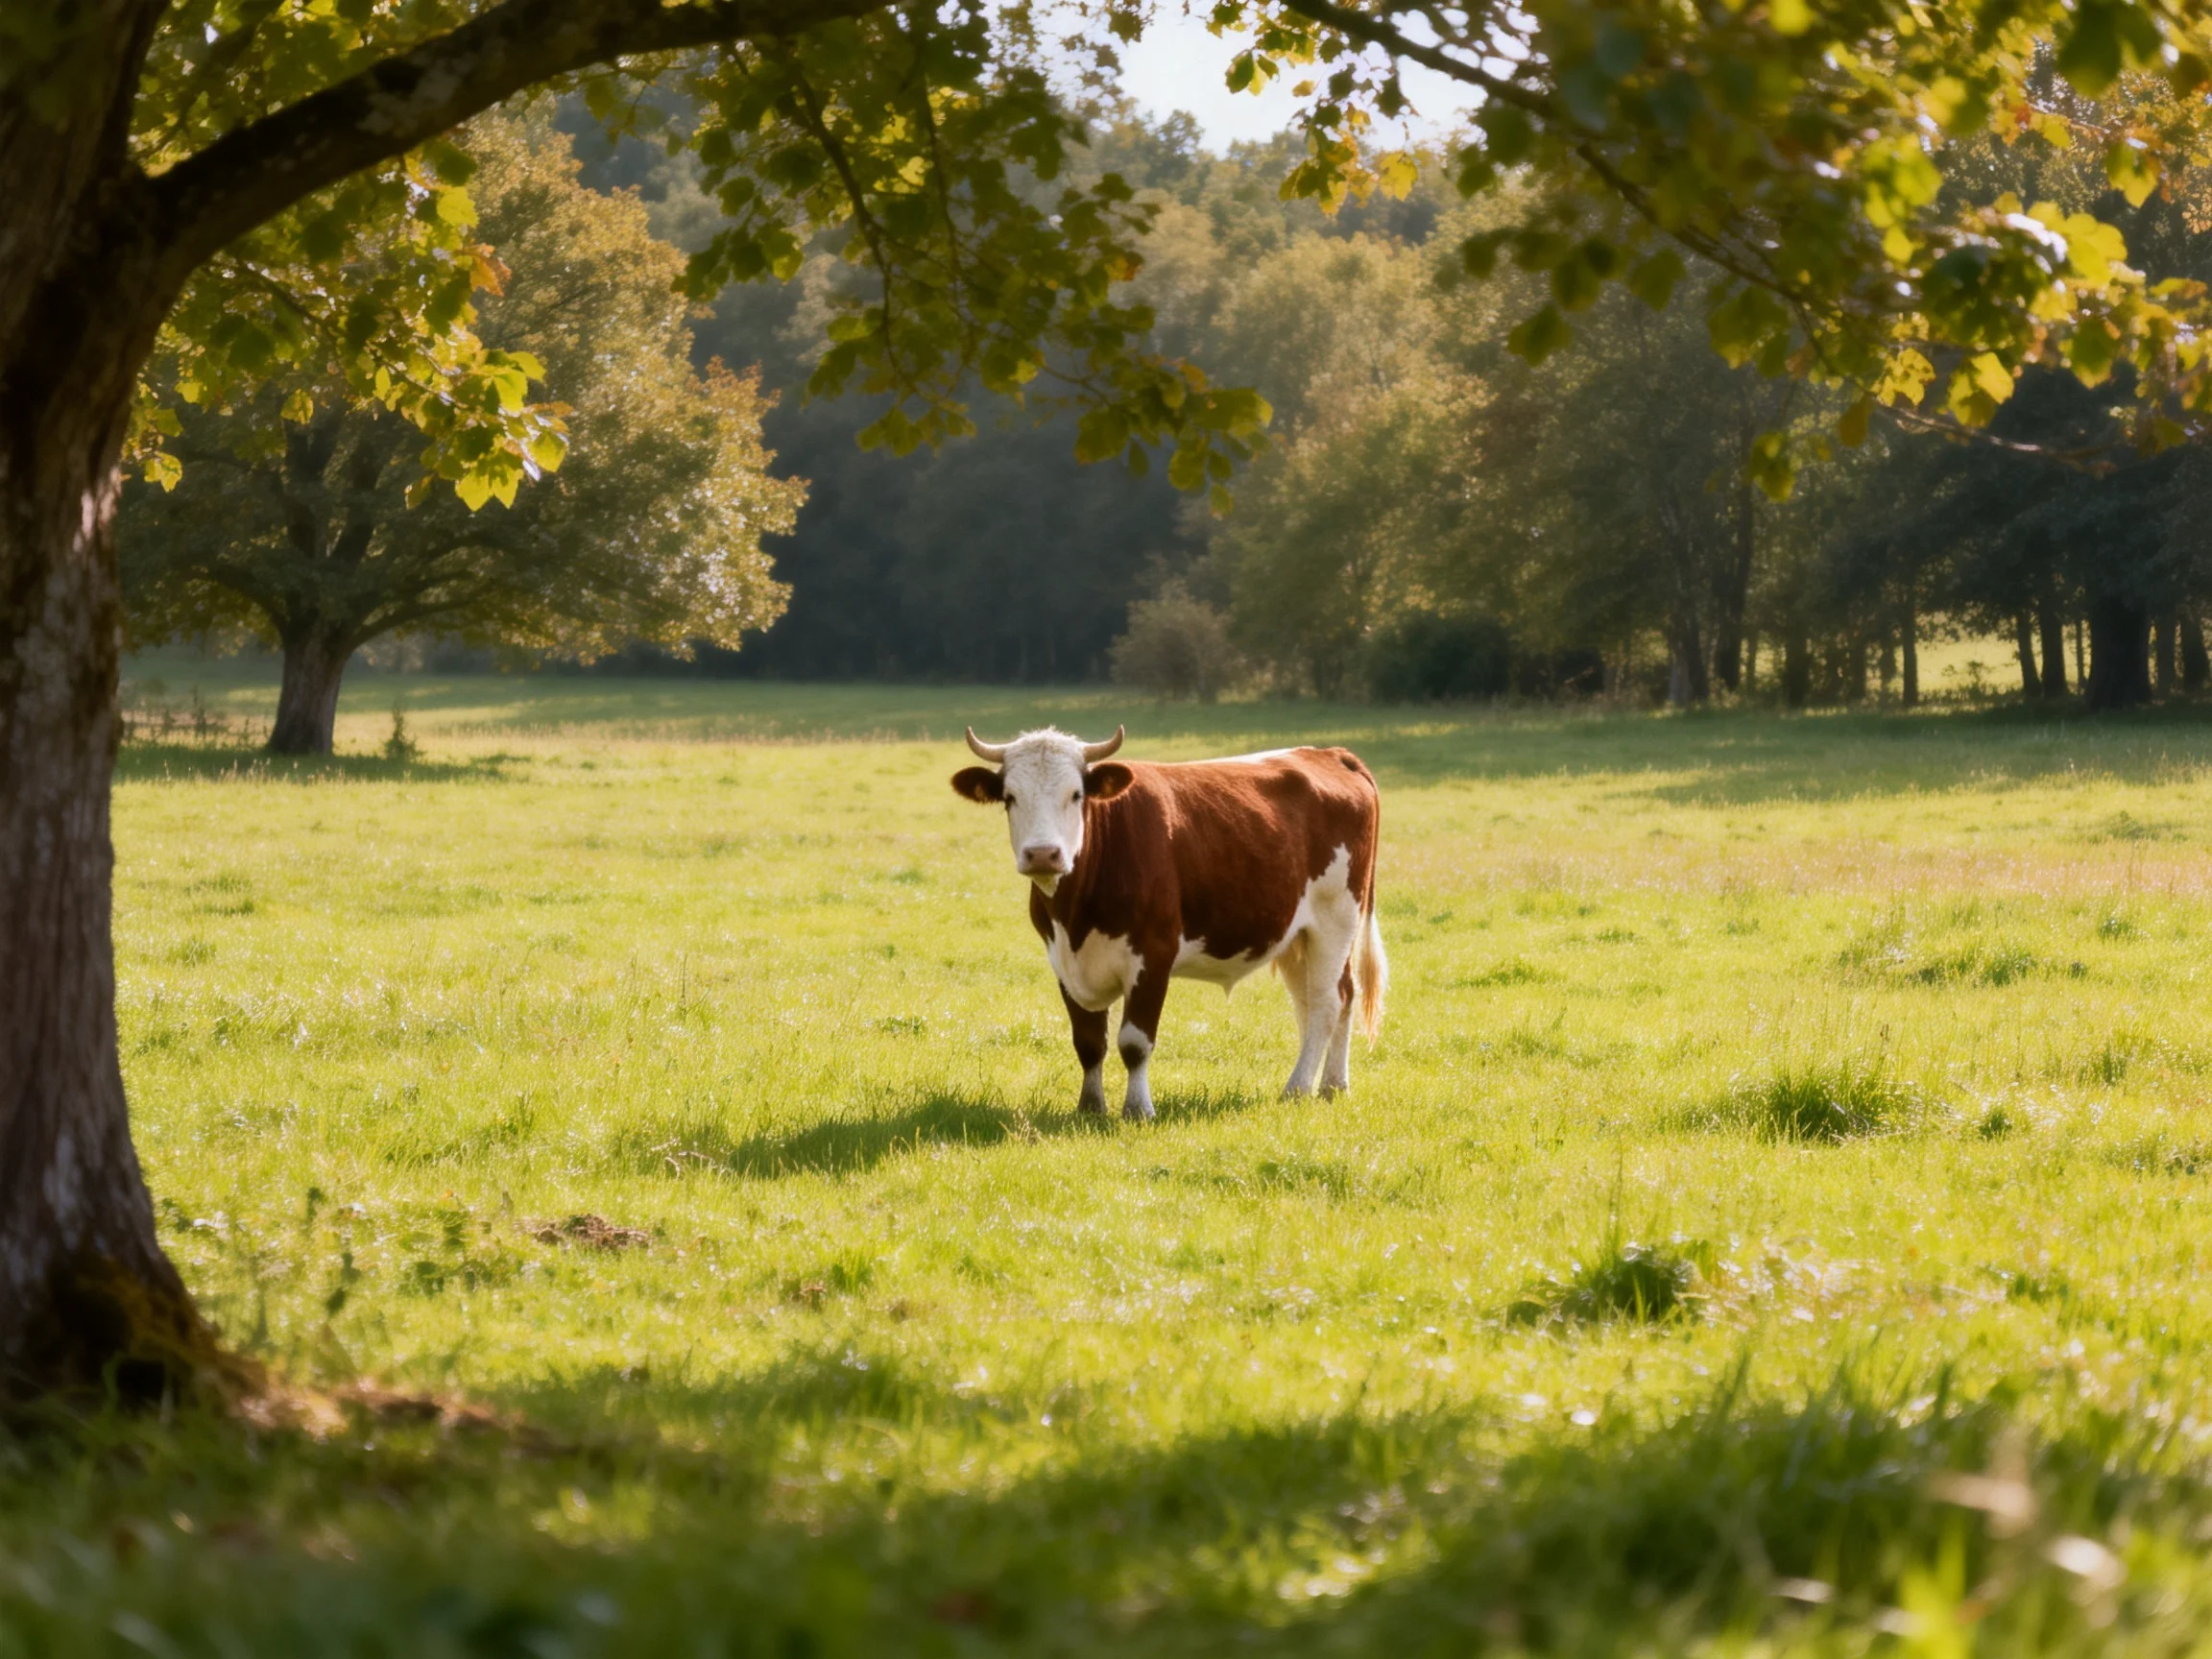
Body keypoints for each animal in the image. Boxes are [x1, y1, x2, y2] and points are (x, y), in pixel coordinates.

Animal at [952, 725, 1386, 1120]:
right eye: (1010, 797)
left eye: (1076, 795)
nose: (1043, 854)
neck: (1075, 915)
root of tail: (1328, 754)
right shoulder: (1063, 962)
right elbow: (1088, 1042)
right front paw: (1090, 1108)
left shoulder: (1153, 955)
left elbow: (1134, 1042)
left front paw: (1138, 1109)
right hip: (1298, 936)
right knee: (1328, 998)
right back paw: (1331, 1086)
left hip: (1336, 917)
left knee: (1327, 1002)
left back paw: (1296, 1088)